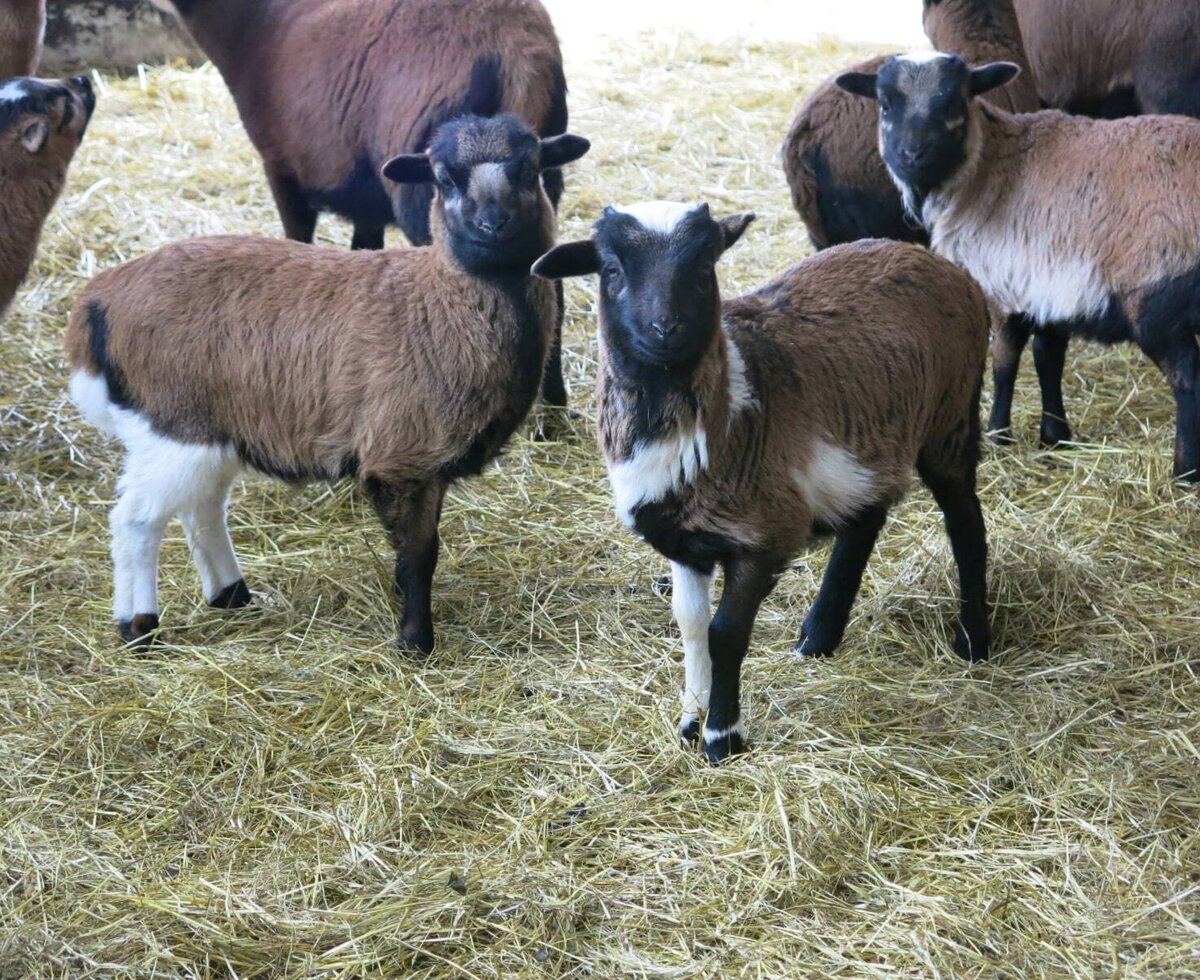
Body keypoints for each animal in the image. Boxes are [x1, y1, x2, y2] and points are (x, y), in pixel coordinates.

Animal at [64, 112, 589, 652]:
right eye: (444, 179)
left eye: (530, 168)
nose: (492, 224)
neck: (438, 302)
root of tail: (98, 301)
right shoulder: (403, 457)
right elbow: (420, 555)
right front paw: (415, 640)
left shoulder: (424, 464)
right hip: (174, 423)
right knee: (136, 519)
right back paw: (138, 625)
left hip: (211, 430)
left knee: (202, 507)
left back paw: (231, 594)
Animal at [154, 0, 576, 410]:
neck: (257, 22)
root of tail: (519, 51)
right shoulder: (367, 199)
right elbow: (364, 253)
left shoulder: (282, 169)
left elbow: (298, 241)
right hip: (542, 186)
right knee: (550, 284)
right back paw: (552, 404)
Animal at [532, 203, 992, 762]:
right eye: (612, 270)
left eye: (704, 267)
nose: (666, 328)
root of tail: (932, 259)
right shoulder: (684, 540)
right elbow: (690, 626)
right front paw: (690, 721)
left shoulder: (763, 537)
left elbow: (725, 634)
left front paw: (720, 737)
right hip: (868, 445)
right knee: (866, 519)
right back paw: (818, 637)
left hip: (951, 417)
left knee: (966, 525)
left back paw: (973, 642)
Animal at [838, 53, 1200, 481]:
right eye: (885, 105)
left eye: (954, 102)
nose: (913, 154)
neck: (987, 167)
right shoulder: (1050, 287)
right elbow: (1048, 360)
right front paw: (1055, 435)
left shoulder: (1003, 288)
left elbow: (1004, 363)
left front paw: (998, 433)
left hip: (1155, 297)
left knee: (1188, 382)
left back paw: (1184, 473)